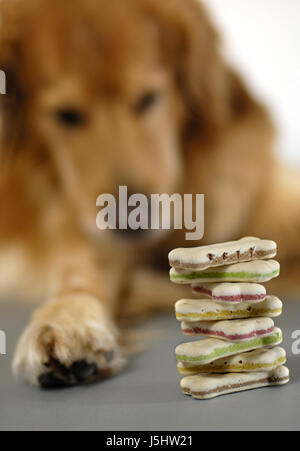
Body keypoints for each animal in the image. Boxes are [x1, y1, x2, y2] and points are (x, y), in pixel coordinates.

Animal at [0, 0, 300, 388]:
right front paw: (66, 320)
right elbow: (78, 273)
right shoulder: (81, 225)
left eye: (148, 99)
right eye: (66, 115)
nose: (131, 219)